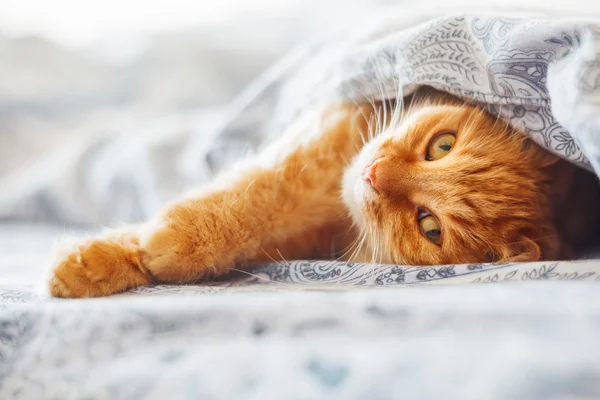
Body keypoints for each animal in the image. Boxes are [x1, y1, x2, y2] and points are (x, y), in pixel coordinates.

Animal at [47, 86, 600, 296]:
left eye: (429, 226)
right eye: (442, 146)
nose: (374, 173)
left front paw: (150, 252)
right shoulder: (327, 139)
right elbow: (259, 190)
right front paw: (104, 259)